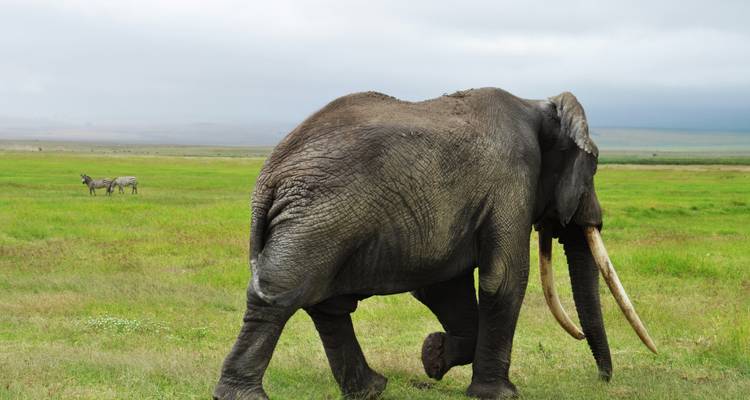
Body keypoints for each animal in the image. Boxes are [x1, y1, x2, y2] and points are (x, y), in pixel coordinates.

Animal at [213, 88, 656, 400]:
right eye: (593, 167)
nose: (601, 380)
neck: (535, 105)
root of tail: (269, 175)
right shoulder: (512, 178)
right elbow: (503, 278)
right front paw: (499, 394)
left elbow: (445, 286)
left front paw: (433, 358)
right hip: (319, 217)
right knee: (282, 296)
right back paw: (244, 396)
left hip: (320, 218)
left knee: (327, 305)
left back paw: (371, 390)